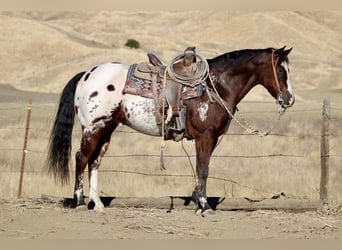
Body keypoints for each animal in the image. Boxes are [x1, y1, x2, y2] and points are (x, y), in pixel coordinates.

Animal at [46, 46, 296, 216]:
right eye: (281, 71)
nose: (289, 99)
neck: (216, 86)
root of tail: (87, 74)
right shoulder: (205, 137)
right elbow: (203, 170)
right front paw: (204, 205)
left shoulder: (210, 139)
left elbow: (200, 169)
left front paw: (198, 202)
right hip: (93, 127)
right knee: (82, 157)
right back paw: (79, 201)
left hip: (107, 129)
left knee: (95, 161)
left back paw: (97, 203)